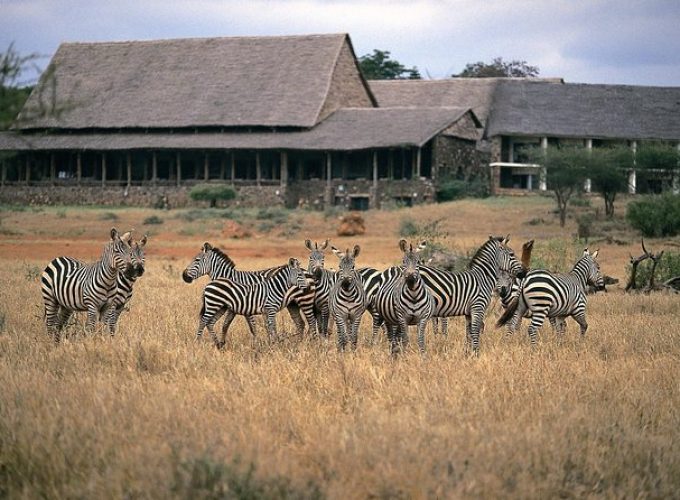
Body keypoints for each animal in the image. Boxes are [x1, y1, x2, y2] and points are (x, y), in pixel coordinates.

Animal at [183, 244, 316, 338]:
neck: (228, 277)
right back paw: (299, 342)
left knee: (311, 322)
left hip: (305, 301)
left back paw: (312, 342)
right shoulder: (236, 306)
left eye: (197, 260)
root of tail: (307, 272)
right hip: (293, 304)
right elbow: (226, 325)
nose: (184, 276)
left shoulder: (245, 305)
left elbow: (252, 326)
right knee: (301, 324)